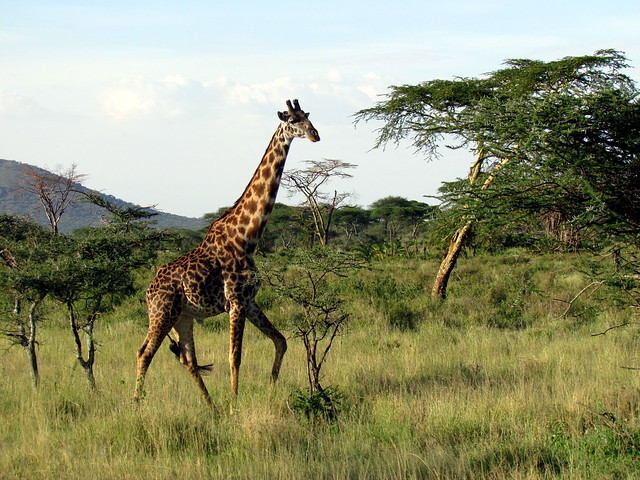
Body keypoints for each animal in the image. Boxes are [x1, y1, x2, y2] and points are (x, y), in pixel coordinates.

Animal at [134, 99, 320, 406]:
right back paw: (137, 404)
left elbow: (280, 340)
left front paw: (271, 388)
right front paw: (234, 403)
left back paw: (211, 406)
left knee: (188, 359)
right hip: (162, 314)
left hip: (183, 318)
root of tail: (148, 292)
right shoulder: (235, 301)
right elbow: (235, 357)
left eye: (307, 116)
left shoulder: (249, 300)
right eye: (293, 120)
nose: (315, 135)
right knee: (144, 353)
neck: (246, 237)